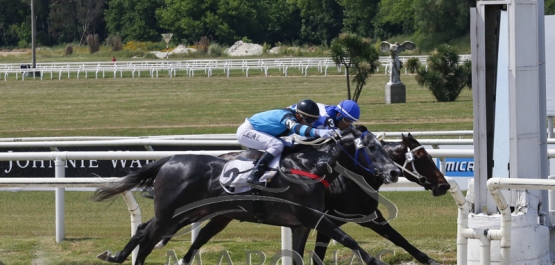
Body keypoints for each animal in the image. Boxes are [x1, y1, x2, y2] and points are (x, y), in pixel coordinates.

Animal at [93, 126, 402, 264]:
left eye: (385, 147)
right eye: (371, 148)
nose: (393, 172)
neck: (310, 167)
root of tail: (169, 160)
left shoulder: (302, 224)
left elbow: (299, 255)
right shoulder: (313, 216)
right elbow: (348, 238)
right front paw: (374, 261)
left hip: (192, 213)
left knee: (144, 232)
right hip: (171, 213)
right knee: (147, 238)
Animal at [154, 127, 450, 262]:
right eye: (421, 157)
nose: (443, 186)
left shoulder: (367, 216)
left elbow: (400, 239)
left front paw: (429, 259)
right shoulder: (328, 219)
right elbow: (323, 251)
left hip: (221, 216)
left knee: (200, 235)